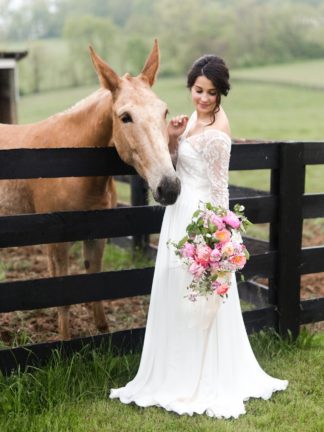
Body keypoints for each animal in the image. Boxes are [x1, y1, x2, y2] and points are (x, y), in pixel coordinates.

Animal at [0, 40, 181, 340]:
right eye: (125, 117)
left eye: (164, 112)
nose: (169, 187)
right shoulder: (56, 243)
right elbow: (61, 294)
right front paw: (64, 341)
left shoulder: (97, 235)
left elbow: (95, 283)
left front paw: (102, 332)